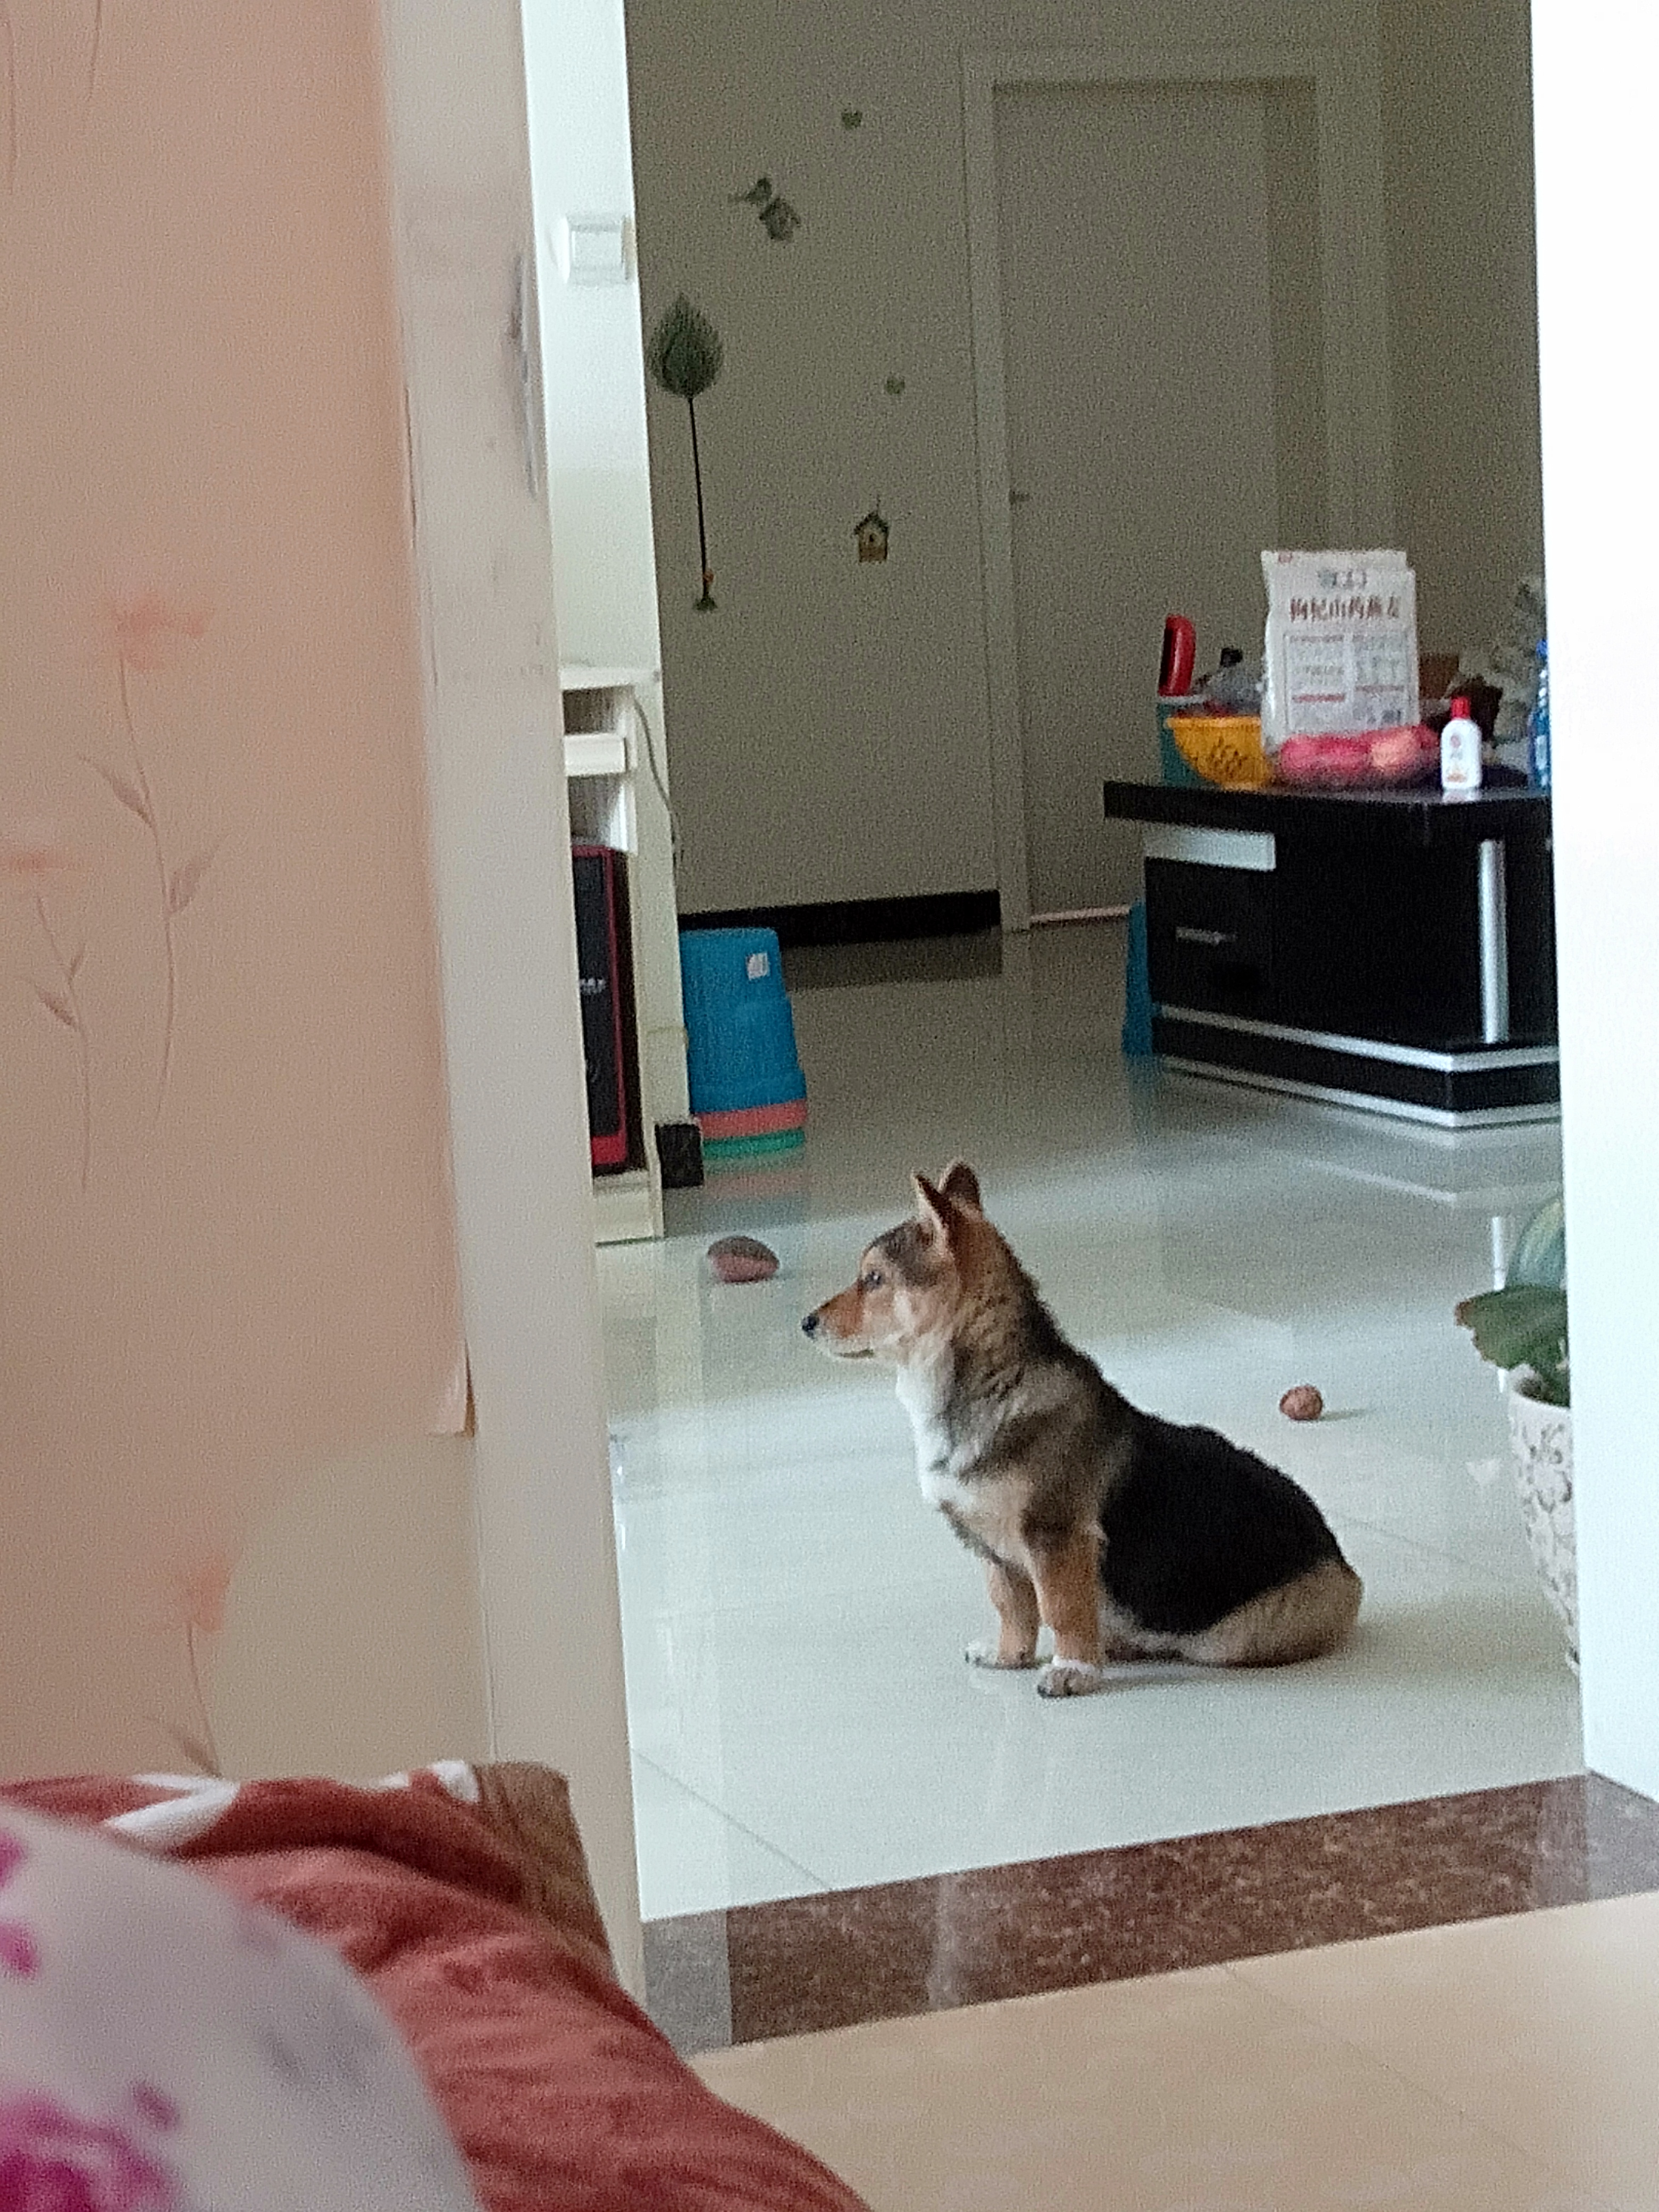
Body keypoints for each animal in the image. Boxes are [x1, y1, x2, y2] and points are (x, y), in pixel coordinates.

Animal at [802, 1162, 1361, 1696]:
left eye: (874, 1279)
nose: (806, 1324)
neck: (986, 1386)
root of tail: (1349, 1575)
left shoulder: (1056, 1539)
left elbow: (1061, 1609)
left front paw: (1072, 1671)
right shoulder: (993, 1552)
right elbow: (1013, 1608)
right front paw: (1009, 1657)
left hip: (1235, 1638)